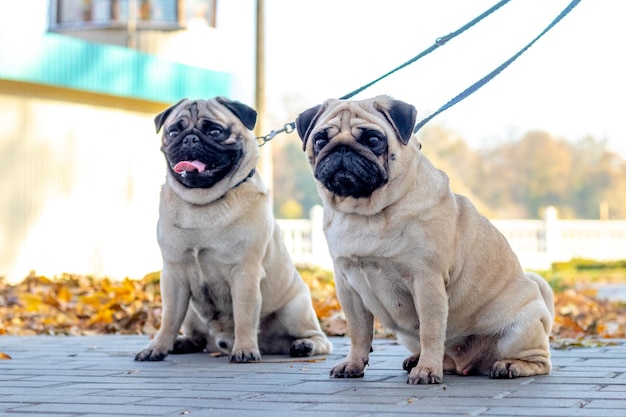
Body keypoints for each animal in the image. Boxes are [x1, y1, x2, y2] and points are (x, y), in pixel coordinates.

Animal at [135, 96, 332, 360]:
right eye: (174, 131)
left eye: (215, 132)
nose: (190, 138)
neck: (203, 203)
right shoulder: (173, 276)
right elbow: (168, 318)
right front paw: (157, 347)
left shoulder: (245, 274)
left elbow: (244, 316)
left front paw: (245, 349)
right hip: (191, 312)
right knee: (197, 335)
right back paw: (183, 343)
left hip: (295, 309)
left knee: (319, 338)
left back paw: (303, 345)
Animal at [294, 96, 552, 382]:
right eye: (320, 140)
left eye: (373, 140)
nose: (341, 149)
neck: (365, 214)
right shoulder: (348, 288)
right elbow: (358, 333)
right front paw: (352, 364)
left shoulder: (426, 281)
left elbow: (430, 330)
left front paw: (427, 370)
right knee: (444, 356)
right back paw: (421, 360)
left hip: (518, 331)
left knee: (540, 361)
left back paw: (509, 365)